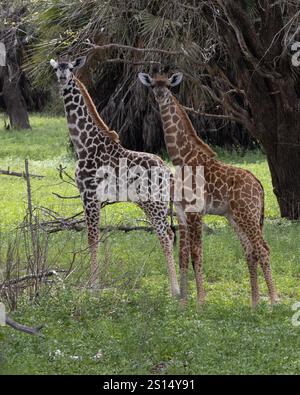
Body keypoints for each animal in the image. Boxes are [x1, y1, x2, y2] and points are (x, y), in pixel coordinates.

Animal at [49, 57, 180, 296]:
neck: (84, 144)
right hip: (156, 203)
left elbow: (92, 237)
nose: (63, 77)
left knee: (165, 235)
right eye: (56, 68)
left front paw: (93, 287)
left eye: (71, 68)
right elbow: (95, 237)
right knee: (170, 233)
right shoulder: (89, 196)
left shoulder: (90, 194)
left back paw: (174, 291)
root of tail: (168, 173)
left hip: (153, 202)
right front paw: (95, 285)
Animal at [139, 69, 278, 308]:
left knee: (263, 248)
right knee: (250, 251)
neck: (181, 159)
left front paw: (201, 302)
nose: (160, 95)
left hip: (248, 214)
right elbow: (183, 257)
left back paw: (273, 301)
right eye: (153, 85)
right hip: (235, 217)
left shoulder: (196, 212)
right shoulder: (181, 213)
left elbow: (197, 254)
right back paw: (253, 304)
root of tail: (259, 186)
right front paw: (183, 303)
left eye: (168, 85)